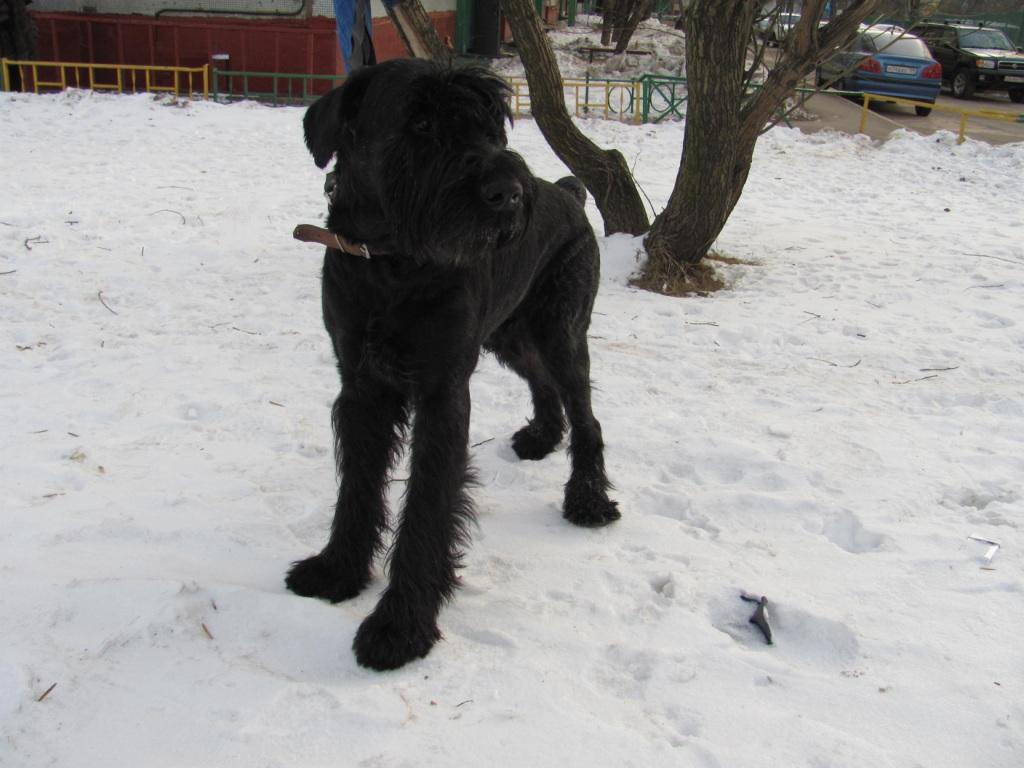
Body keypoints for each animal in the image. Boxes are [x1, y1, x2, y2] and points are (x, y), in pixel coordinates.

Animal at [285, 59, 619, 670]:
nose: (508, 193)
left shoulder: (442, 392)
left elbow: (427, 502)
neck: (390, 262)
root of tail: (569, 194)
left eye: (492, 124)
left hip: (561, 332)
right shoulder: (360, 386)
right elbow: (358, 484)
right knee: (543, 384)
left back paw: (587, 499)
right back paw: (541, 437)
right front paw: (337, 568)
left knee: (587, 413)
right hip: (511, 335)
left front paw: (399, 626)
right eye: (419, 122)